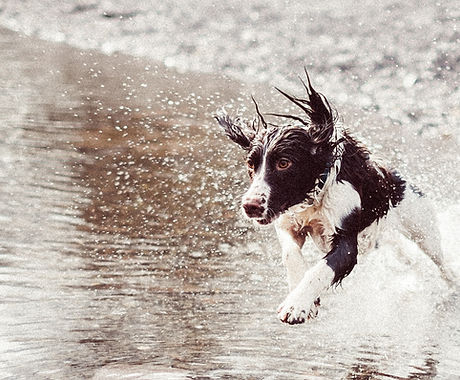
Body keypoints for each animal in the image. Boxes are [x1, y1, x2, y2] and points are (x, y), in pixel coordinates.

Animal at [216, 68, 452, 324]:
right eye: (251, 164)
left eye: (283, 163)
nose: (250, 206)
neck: (313, 198)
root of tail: (398, 180)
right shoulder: (289, 224)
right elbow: (290, 254)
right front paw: (305, 298)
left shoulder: (346, 241)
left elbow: (320, 270)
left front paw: (297, 305)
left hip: (423, 230)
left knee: (442, 264)